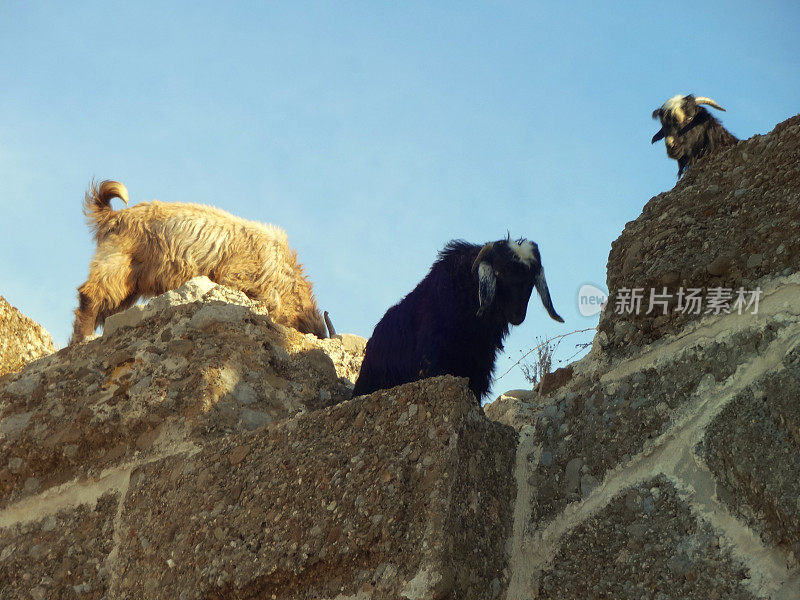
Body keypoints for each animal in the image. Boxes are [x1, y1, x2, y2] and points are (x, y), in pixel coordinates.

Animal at [71, 179, 328, 342]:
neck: (281, 269)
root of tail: (114, 216)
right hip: (117, 263)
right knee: (90, 296)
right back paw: (84, 337)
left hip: (130, 284)